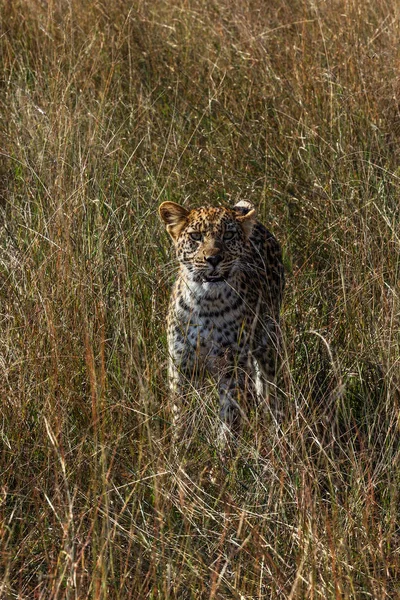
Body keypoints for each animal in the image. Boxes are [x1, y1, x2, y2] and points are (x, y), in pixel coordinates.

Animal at [159, 199, 284, 442]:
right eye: (196, 236)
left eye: (228, 235)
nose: (213, 259)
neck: (207, 303)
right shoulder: (180, 365)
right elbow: (181, 417)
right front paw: (180, 448)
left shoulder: (232, 368)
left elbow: (230, 417)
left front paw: (225, 449)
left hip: (269, 343)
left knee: (271, 390)